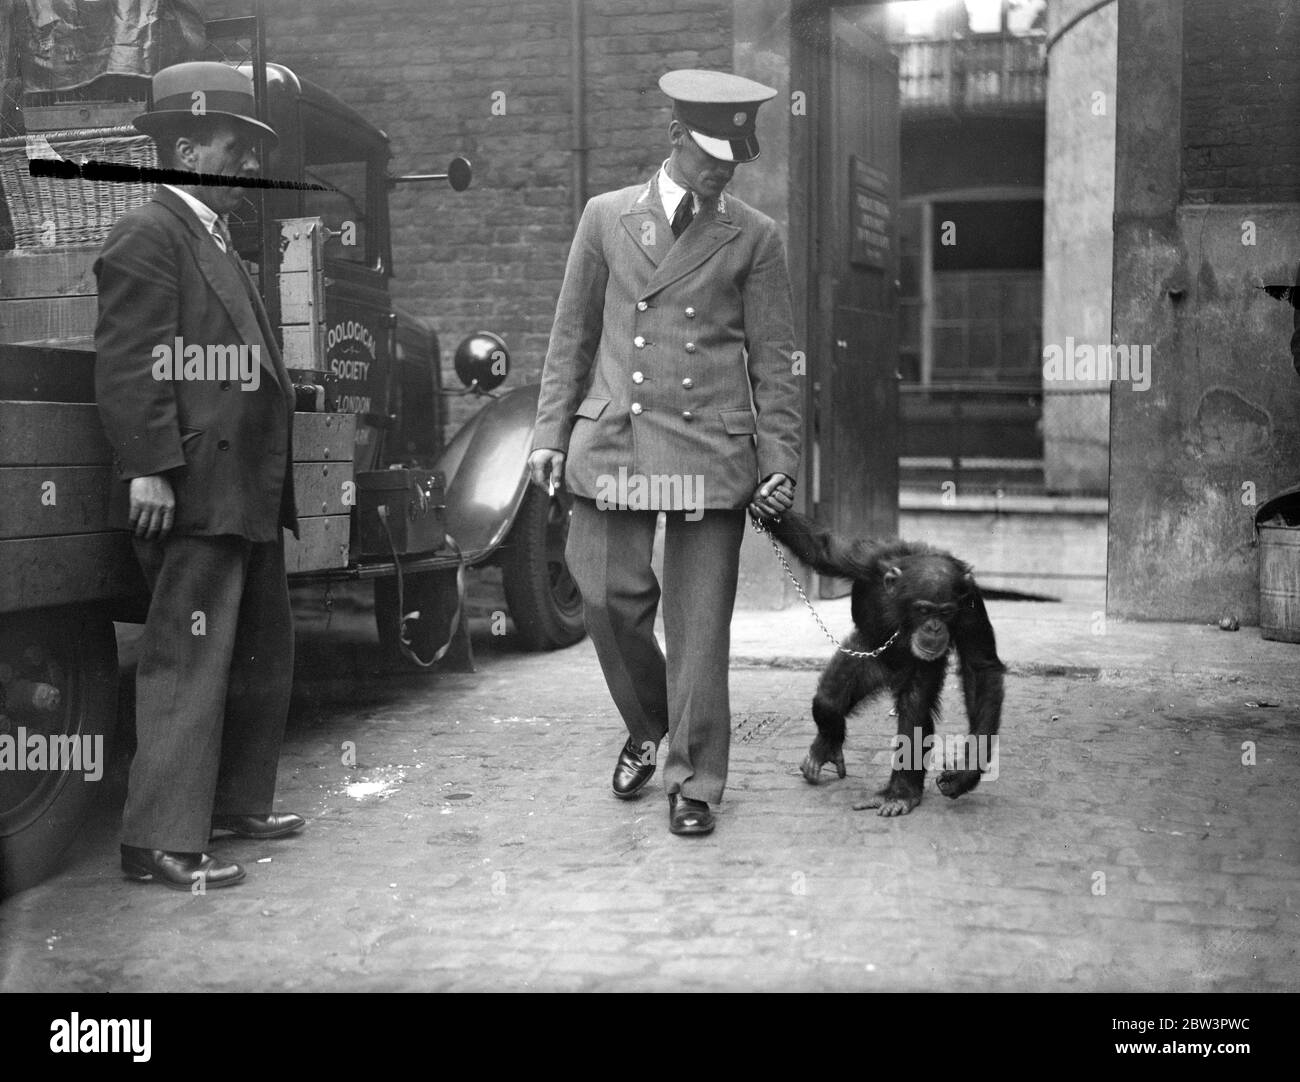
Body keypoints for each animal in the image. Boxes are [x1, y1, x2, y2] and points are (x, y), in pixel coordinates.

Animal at [759, 512, 1003, 816]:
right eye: (924, 609)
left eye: (946, 612)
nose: (934, 628)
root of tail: (890, 676)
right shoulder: (867, 561)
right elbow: (823, 549)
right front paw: (769, 504)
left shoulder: (970, 603)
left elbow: (981, 667)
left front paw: (967, 771)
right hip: (866, 656)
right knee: (829, 698)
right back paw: (825, 746)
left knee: (913, 712)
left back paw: (900, 794)